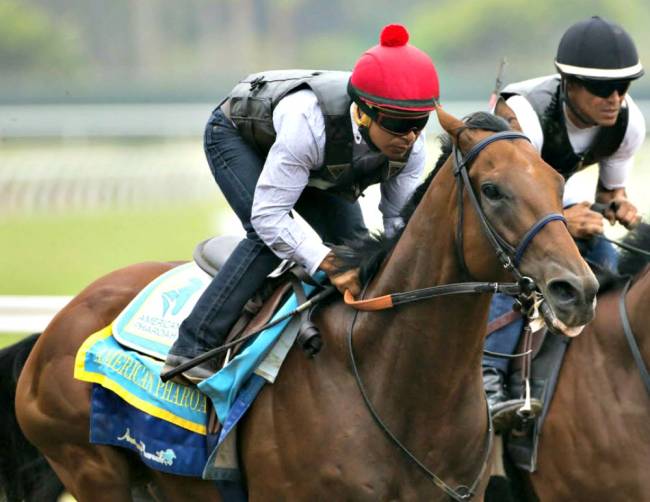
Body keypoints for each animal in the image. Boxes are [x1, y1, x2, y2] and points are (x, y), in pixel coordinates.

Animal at [12, 110, 596, 502]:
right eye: (493, 189)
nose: (577, 290)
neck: (392, 382)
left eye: (556, 182)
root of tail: (54, 328)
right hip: (89, 466)